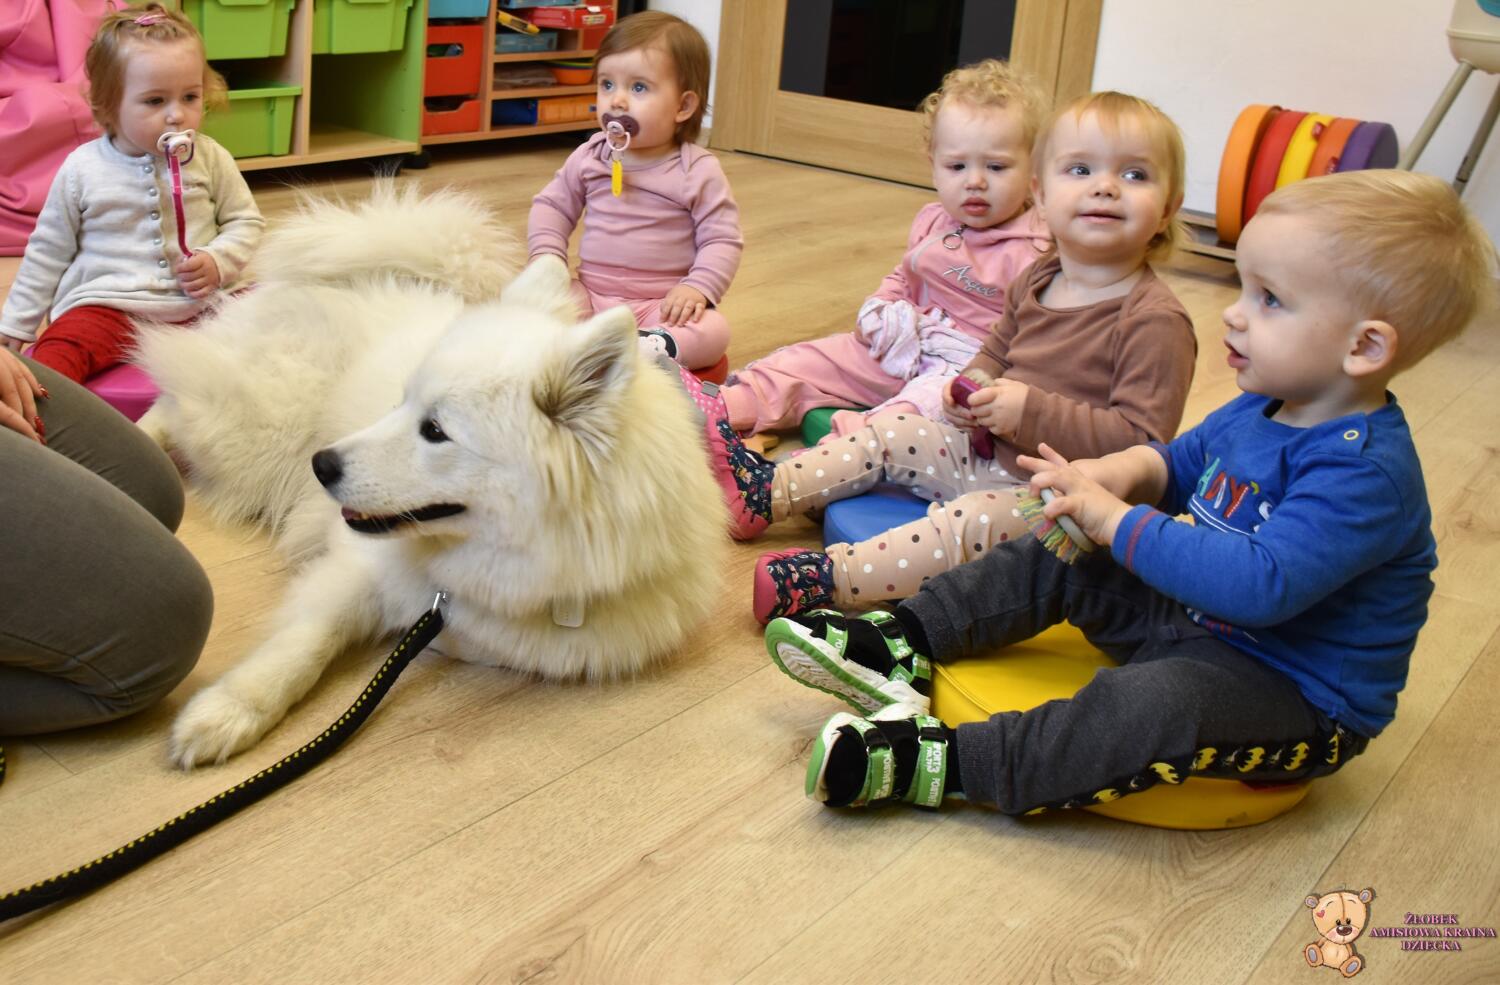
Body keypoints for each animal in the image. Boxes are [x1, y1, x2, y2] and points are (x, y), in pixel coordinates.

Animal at [136, 183, 728, 768]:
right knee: (173, 403)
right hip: (253, 428)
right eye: (400, 403)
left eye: (435, 431)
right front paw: (228, 712)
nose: (322, 465)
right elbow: (305, 642)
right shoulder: (355, 567)